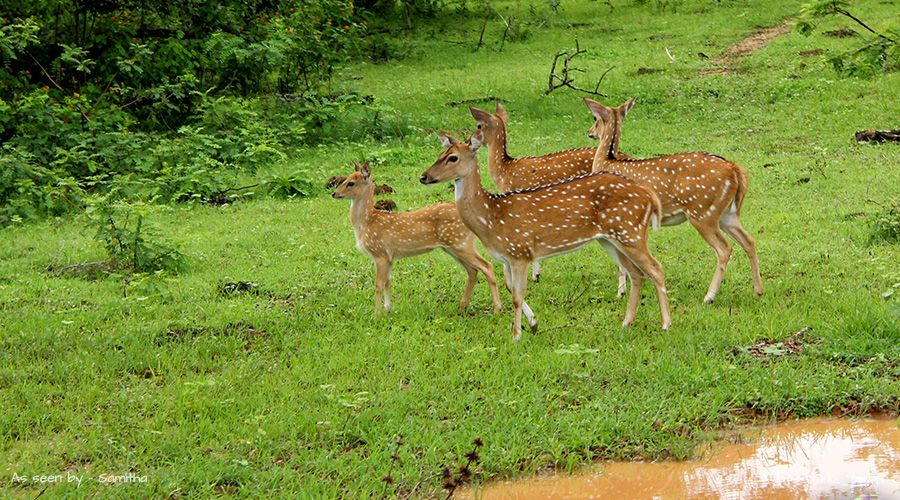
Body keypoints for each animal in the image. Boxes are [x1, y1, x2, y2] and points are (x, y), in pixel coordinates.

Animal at [332, 162, 502, 314]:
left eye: (351, 183)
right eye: (345, 179)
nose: (334, 193)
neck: (367, 222)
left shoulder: (380, 253)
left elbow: (379, 285)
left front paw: (377, 314)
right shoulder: (389, 257)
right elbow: (387, 282)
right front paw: (388, 309)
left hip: (460, 242)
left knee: (487, 266)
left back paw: (497, 309)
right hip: (452, 247)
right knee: (473, 271)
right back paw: (462, 306)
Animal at [420, 130, 668, 340]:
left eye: (452, 158)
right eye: (439, 154)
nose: (423, 176)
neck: (491, 219)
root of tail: (649, 195)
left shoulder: (519, 251)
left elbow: (516, 296)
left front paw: (516, 335)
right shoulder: (506, 258)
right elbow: (509, 287)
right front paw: (532, 324)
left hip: (630, 232)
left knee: (656, 268)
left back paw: (666, 324)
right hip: (610, 239)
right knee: (637, 274)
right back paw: (626, 323)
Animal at [584, 96, 760, 302]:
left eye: (595, 119)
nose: (590, 132)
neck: (606, 160)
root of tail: (734, 169)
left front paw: (621, 292)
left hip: (702, 212)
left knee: (725, 249)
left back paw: (709, 297)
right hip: (728, 214)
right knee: (749, 240)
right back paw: (758, 291)